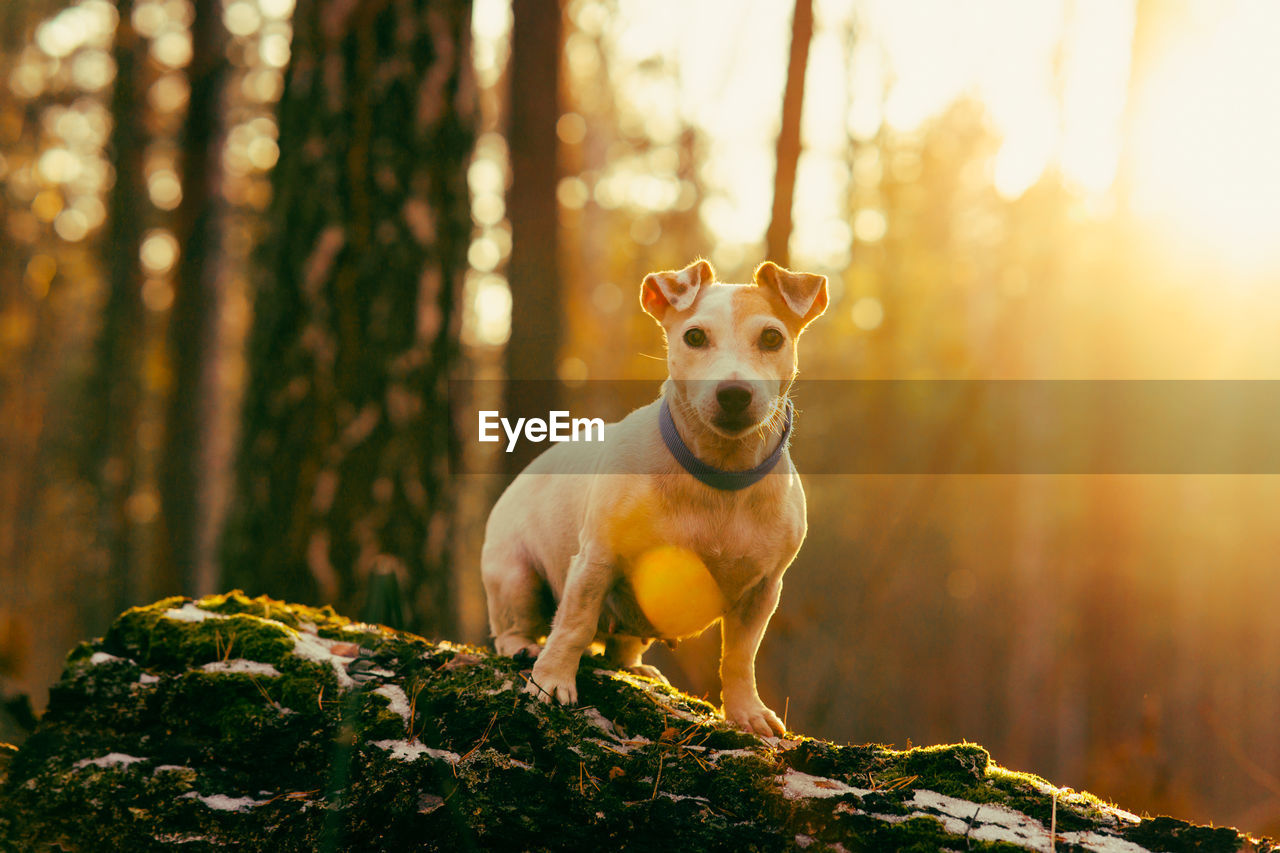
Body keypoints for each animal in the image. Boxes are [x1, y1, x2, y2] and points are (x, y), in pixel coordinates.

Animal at [481, 256, 829, 732]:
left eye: (772, 337)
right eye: (694, 336)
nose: (734, 393)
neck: (718, 475)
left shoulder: (762, 591)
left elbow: (739, 657)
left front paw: (747, 712)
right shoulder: (597, 559)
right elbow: (573, 624)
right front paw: (552, 680)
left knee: (620, 647)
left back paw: (636, 667)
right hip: (516, 578)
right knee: (516, 627)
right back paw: (525, 647)